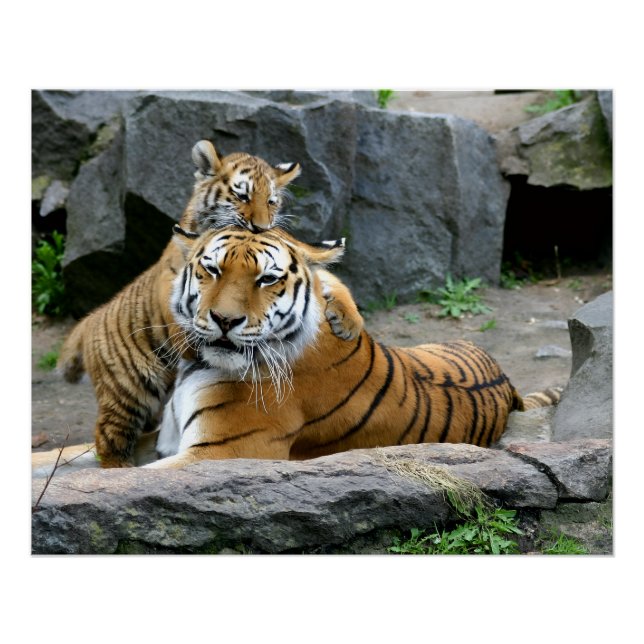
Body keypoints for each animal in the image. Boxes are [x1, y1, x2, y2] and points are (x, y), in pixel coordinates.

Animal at [57, 140, 364, 468]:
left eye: (271, 201)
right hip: (128, 392)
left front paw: (349, 322)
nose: (260, 227)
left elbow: (329, 279)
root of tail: (90, 319)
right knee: (109, 437)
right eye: (242, 196)